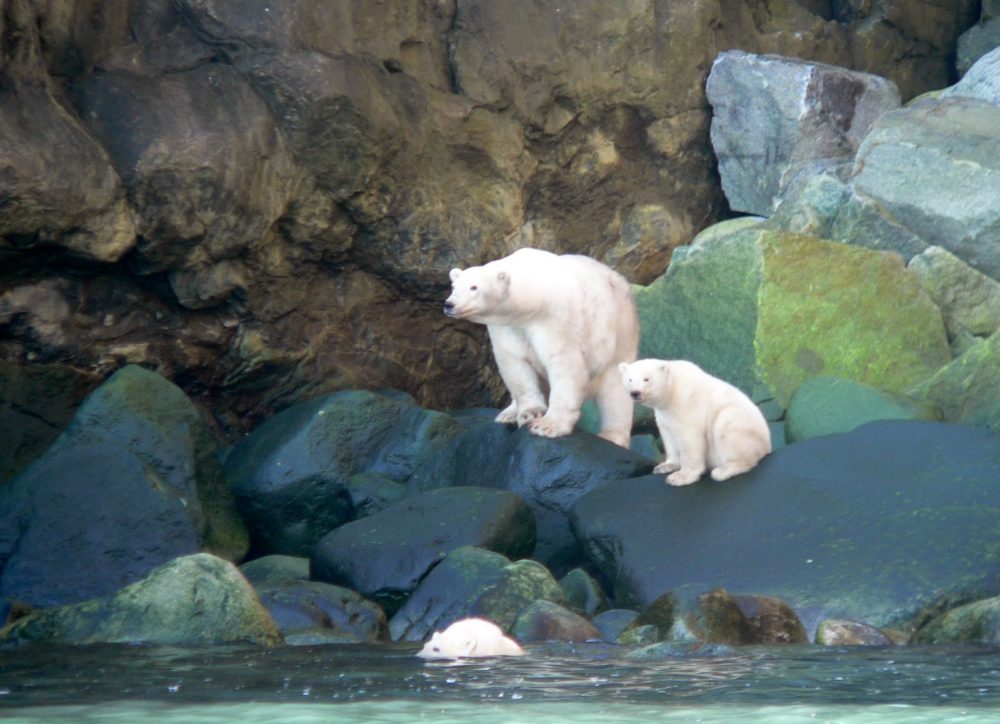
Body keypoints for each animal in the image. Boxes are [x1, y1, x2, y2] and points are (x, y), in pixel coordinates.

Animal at [448, 249, 640, 446]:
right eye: (453, 287)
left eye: (474, 287)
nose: (449, 304)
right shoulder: (505, 328)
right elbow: (514, 365)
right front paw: (530, 413)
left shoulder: (556, 318)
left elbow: (564, 364)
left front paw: (547, 426)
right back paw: (508, 414)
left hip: (620, 335)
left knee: (614, 391)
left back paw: (612, 435)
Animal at [616, 358, 772, 484]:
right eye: (629, 379)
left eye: (646, 379)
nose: (635, 393)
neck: (672, 390)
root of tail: (768, 444)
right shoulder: (664, 415)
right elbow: (668, 436)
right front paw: (664, 466)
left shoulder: (686, 404)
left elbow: (690, 439)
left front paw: (679, 477)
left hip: (740, 423)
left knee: (727, 429)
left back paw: (722, 471)